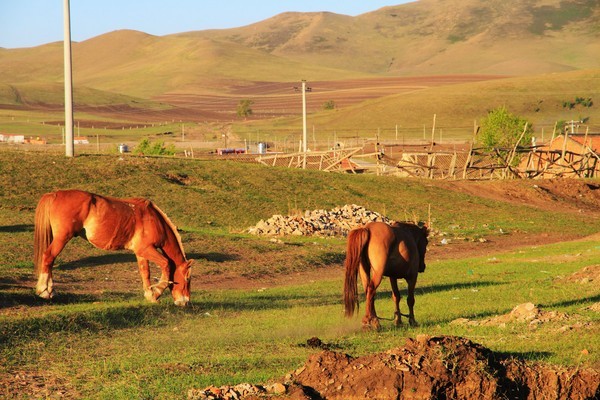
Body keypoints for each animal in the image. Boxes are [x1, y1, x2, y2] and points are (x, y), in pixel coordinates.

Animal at [33, 189, 192, 304]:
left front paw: (150, 295)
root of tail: (55, 194)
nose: (185, 302)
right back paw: (44, 291)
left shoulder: (141, 253)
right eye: (187, 279)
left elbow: (145, 273)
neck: (154, 220)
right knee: (48, 257)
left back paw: (50, 290)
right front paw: (157, 291)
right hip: (62, 238)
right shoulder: (146, 250)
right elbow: (166, 264)